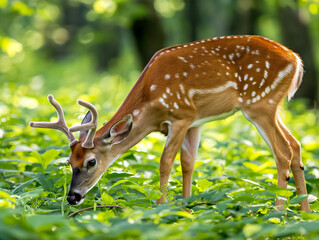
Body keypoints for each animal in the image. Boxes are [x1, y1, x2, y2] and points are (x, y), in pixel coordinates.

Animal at [29, 35, 310, 212]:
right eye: (69, 161)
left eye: (91, 162)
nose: (72, 197)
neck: (151, 102)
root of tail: (297, 61)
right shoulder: (196, 121)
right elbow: (188, 163)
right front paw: (187, 206)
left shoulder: (182, 114)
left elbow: (165, 162)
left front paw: (160, 206)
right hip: (272, 106)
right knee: (296, 146)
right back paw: (305, 211)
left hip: (259, 103)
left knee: (283, 151)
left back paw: (278, 210)